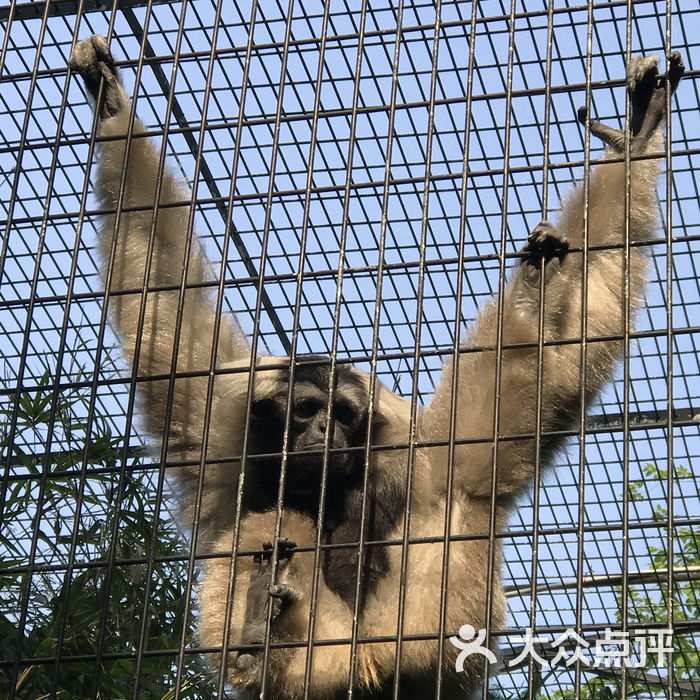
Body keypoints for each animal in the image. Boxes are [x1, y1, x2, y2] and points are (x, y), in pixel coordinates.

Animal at [69, 36, 683, 699]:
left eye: (342, 414)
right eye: (308, 410)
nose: (323, 431)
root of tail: (359, 664)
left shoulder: (421, 454)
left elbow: (529, 391)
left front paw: (636, 140)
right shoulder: (220, 430)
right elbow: (164, 313)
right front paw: (111, 107)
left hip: (413, 636)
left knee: (459, 510)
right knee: (264, 527)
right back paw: (261, 638)